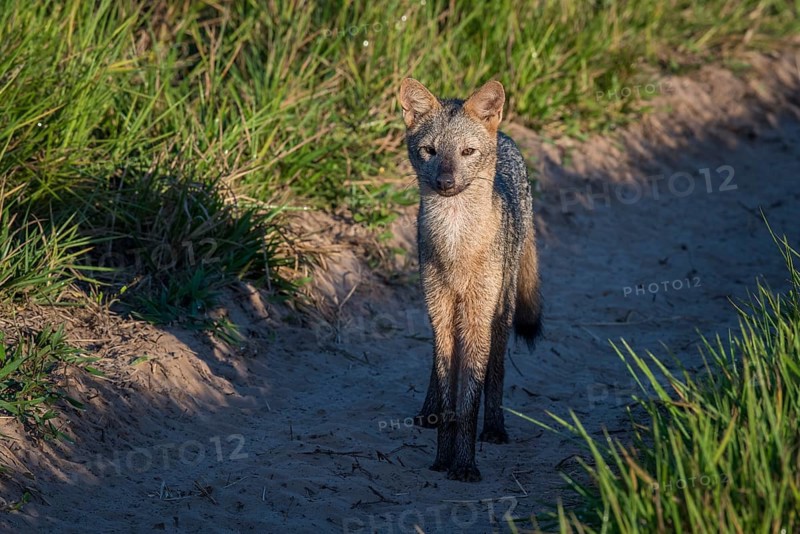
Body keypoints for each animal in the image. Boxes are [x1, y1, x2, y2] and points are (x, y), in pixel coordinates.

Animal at [398, 78, 542, 482]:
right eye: (430, 151)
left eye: (466, 152)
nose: (445, 181)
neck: (456, 249)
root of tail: (506, 137)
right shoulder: (441, 310)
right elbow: (449, 393)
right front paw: (442, 458)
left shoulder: (479, 316)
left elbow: (469, 404)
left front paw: (463, 465)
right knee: (437, 365)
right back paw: (429, 411)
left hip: (500, 312)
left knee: (496, 372)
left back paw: (494, 426)